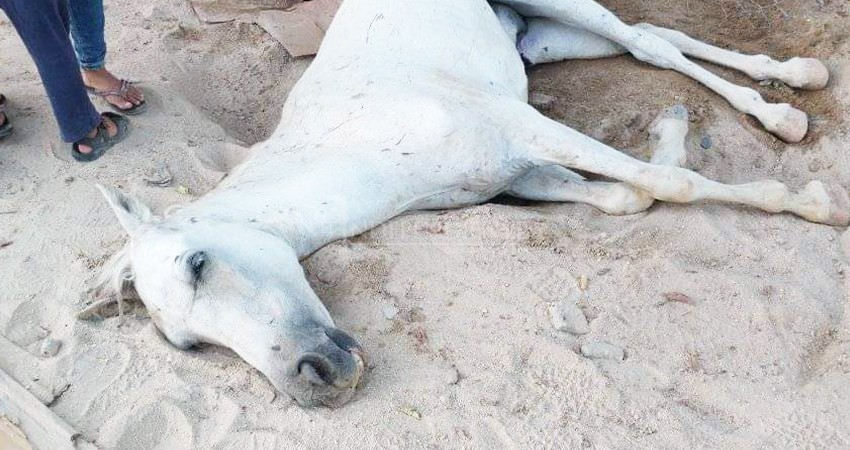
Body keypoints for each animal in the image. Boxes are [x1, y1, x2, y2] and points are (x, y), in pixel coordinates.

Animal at [92, 0, 845, 407]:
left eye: (197, 263)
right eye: (187, 346)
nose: (315, 381)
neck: (363, 142)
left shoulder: (521, 126)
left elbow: (673, 187)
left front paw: (810, 202)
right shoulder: (516, 172)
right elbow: (627, 197)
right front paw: (670, 134)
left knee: (649, 43)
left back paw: (787, 111)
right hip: (537, 36)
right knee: (656, 41)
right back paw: (792, 83)